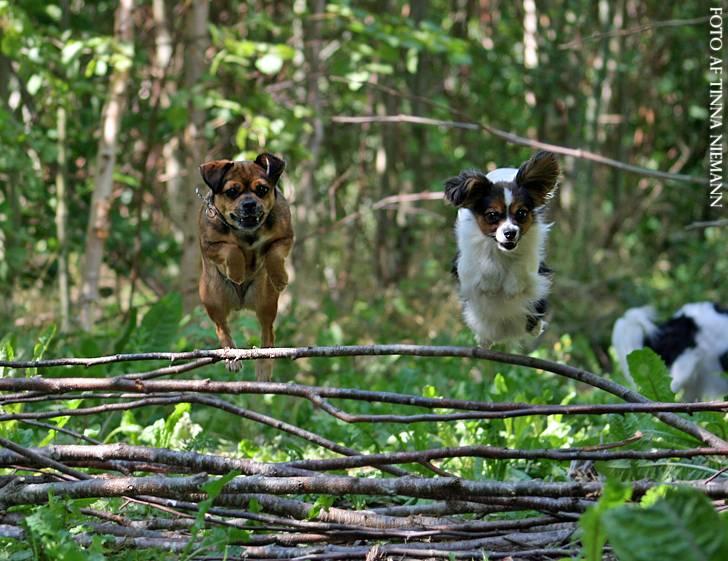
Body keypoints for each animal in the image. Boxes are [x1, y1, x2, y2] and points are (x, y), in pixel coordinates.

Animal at [199, 152, 292, 380]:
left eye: (262, 189)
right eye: (232, 192)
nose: (249, 204)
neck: (247, 233)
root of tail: (240, 303)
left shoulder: (285, 237)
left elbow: (273, 253)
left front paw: (279, 278)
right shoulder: (210, 245)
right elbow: (231, 249)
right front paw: (237, 272)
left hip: (266, 302)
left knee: (267, 333)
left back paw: (264, 364)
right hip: (212, 298)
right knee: (221, 327)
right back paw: (231, 356)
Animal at [440, 151, 560, 348]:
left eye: (522, 213)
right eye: (492, 215)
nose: (510, 233)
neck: (502, 251)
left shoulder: (532, 258)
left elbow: (520, 265)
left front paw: (512, 288)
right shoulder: (466, 263)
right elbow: (486, 265)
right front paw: (491, 284)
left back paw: (534, 327)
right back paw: (485, 340)